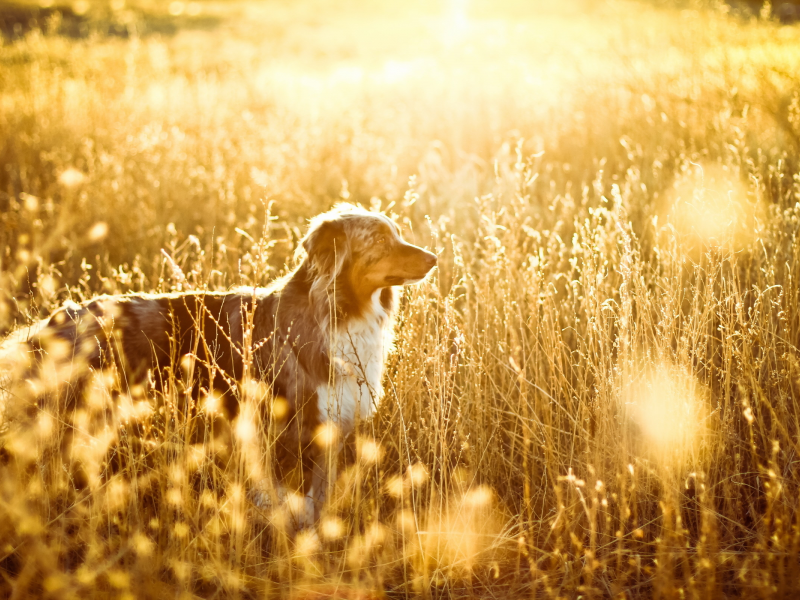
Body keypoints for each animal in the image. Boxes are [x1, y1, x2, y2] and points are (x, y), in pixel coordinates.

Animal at [0, 203, 438, 520]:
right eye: (381, 239)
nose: (434, 258)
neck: (336, 309)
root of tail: (54, 322)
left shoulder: (333, 420)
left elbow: (319, 492)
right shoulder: (283, 425)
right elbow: (289, 494)